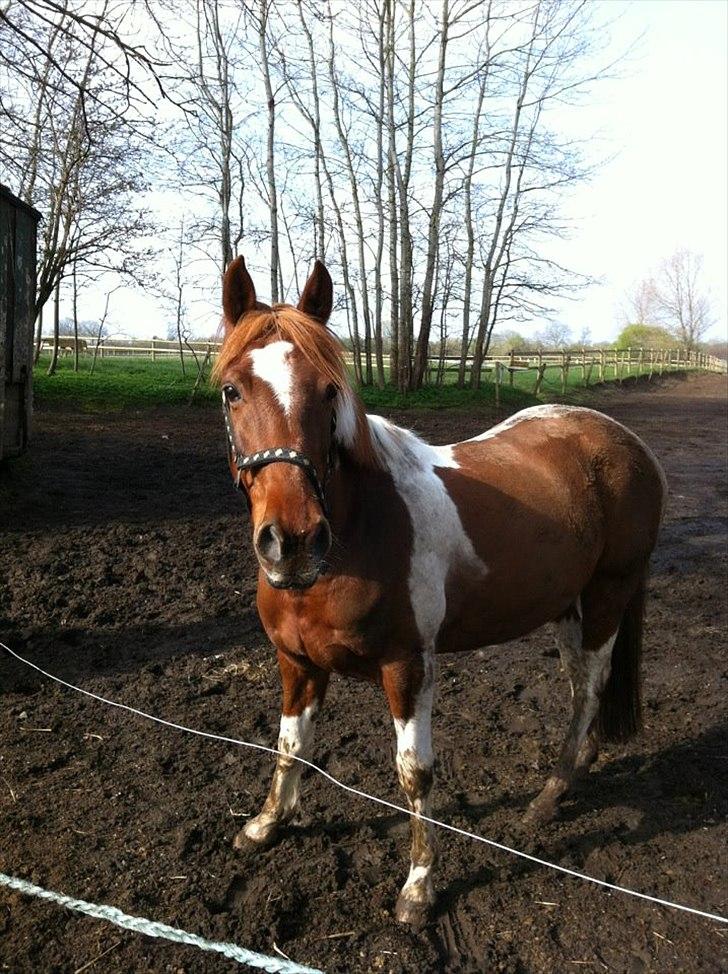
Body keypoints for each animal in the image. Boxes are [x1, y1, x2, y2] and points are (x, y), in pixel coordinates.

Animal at [214, 256, 666, 926]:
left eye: (329, 390)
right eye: (232, 390)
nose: (292, 541)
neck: (357, 535)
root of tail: (628, 442)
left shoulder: (408, 666)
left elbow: (415, 774)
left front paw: (419, 886)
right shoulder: (296, 662)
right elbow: (291, 745)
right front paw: (266, 824)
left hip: (609, 596)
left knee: (589, 688)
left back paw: (549, 795)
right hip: (569, 607)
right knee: (582, 688)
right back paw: (579, 766)